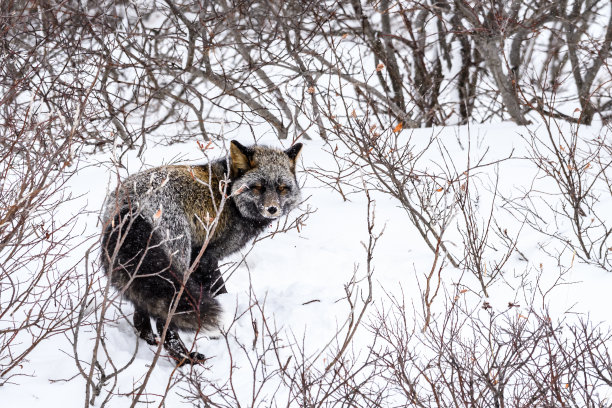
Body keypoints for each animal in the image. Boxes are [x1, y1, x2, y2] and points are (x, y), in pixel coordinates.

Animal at [101, 140, 304, 364]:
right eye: (258, 187)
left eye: (282, 188)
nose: (272, 209)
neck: (228, 195)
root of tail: (132, 204)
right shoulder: (206, 257)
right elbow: (220, 290)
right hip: (178, 258)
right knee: (166, 321)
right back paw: (185, 358)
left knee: (142, 310)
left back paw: (150, 340)